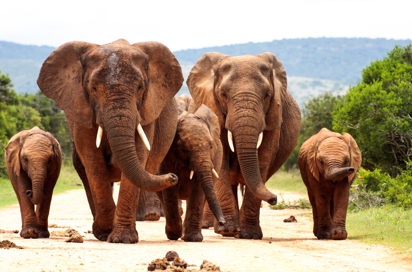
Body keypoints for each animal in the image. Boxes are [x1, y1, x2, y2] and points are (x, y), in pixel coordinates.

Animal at [37, 38, 183, 244]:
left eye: (140, 88)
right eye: (93, 88)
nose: (173, 176)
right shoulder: (81, 109)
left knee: (150, 171)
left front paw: (122, 239)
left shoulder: (146, 110)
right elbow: (93, 160)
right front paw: (106, 233)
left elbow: (139, 154)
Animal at [160, 95, 225, 242]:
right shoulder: (166, 156)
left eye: (211, 146)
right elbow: (170, 189)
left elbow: (198, 189)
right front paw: (175, 235)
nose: (222, 222)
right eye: (184, 148)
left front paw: (193, 238)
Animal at [186, 52, 300, 239]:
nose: (274, 199)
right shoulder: (214, 107)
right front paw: (228, 231)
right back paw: (224, 228)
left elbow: (264, 155)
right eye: (223, 94)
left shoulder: (274, 114)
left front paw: (250, 235)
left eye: (267, 94)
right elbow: (222, 155)